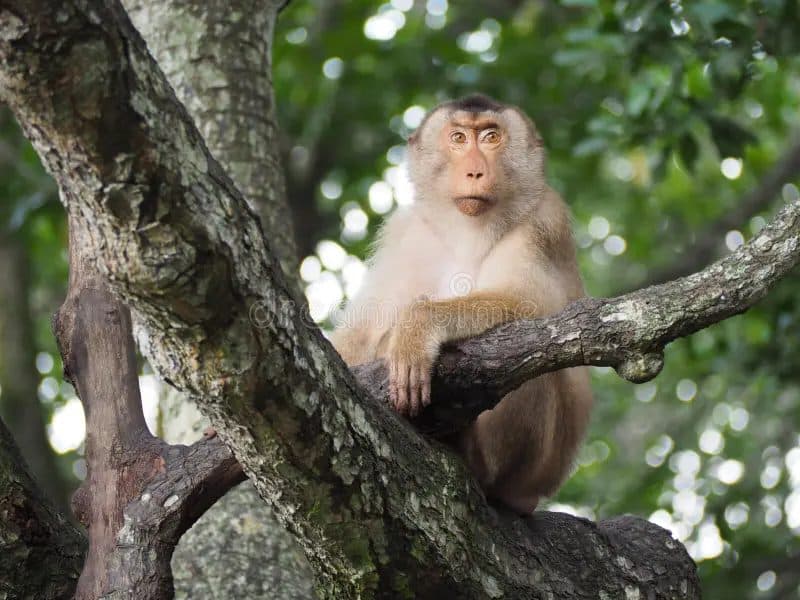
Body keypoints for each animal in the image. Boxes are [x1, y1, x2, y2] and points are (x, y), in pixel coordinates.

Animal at [330, 94, 592, 514]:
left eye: (490, 137)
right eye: (457, 138)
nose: (474, 172)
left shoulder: (544, 219)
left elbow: (530, 306)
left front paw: (416, 329)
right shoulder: (406, 231)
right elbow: (364, 329)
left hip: (535, 470)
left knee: (533, 359)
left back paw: (474, 460)